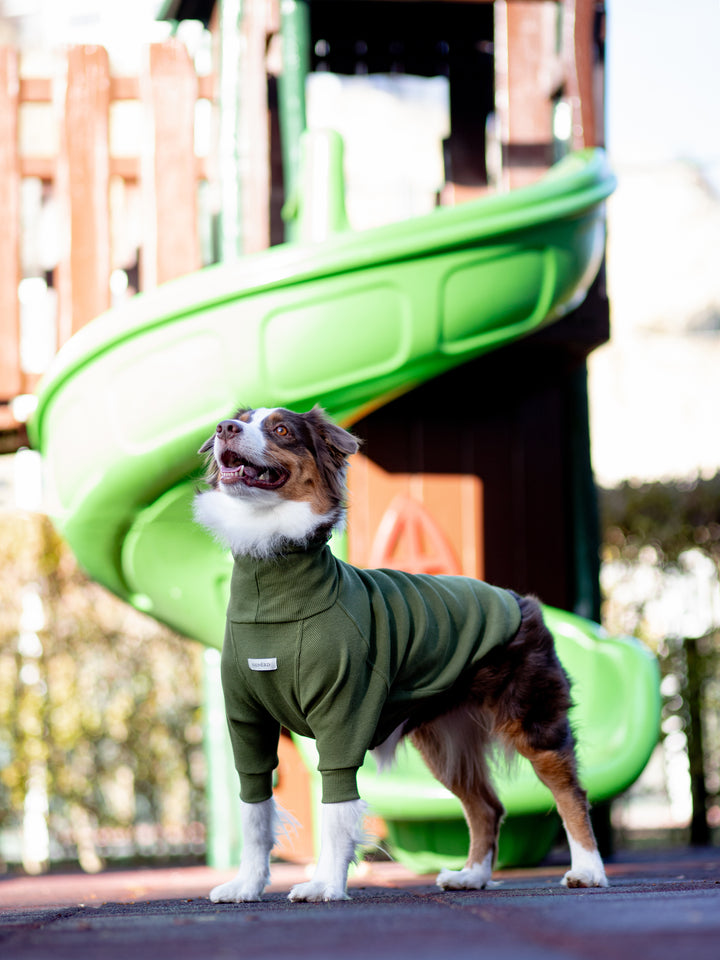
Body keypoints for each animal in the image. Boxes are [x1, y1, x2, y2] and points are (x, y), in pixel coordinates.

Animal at [193, 404, 608, 900]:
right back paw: (472, 875)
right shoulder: (247, 720)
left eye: (281, 430)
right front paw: (247, 885)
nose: (224, 429)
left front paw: (326, 884)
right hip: (445, 743)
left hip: (532, 722)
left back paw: (588, 870)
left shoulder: (343, 716)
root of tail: (520, 600)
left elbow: (336, 811)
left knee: (570, 793)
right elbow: (254, 810)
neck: (274, 576)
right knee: (486, 806)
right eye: (240, 418)